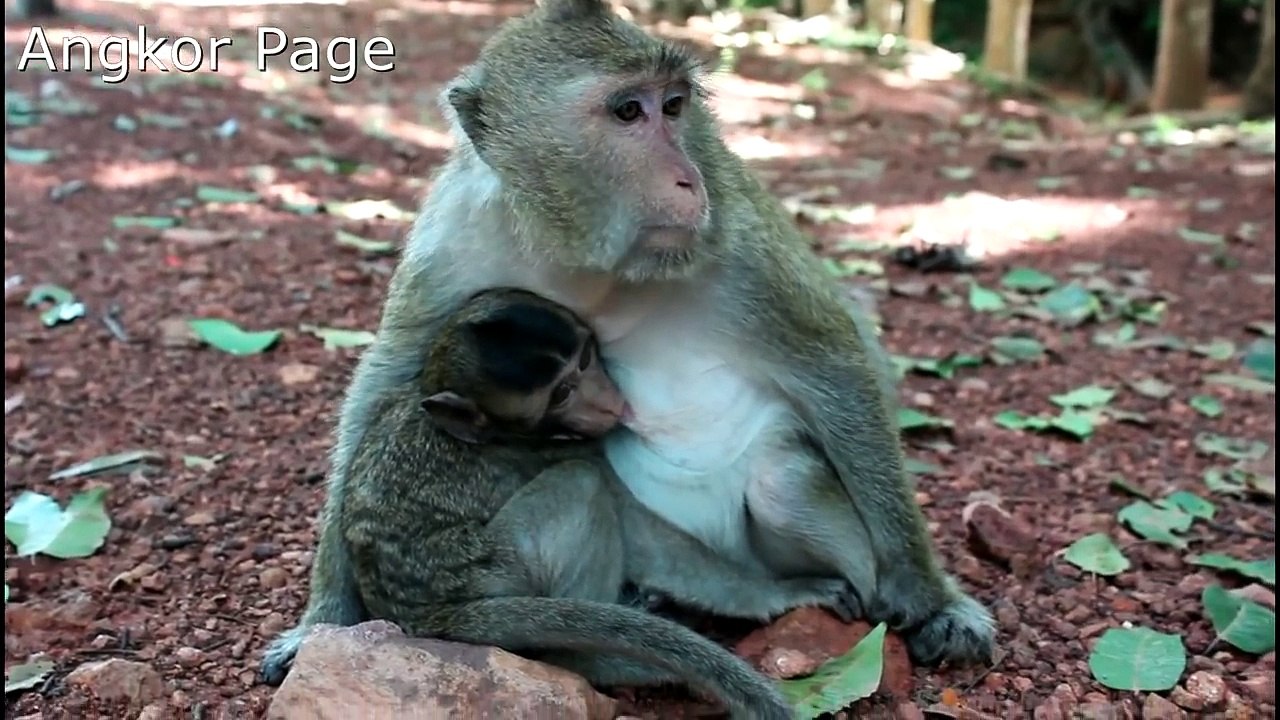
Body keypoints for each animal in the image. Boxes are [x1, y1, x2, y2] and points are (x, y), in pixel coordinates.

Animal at [339, 287, 859, 719]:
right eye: (563, 393)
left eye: (586, 358)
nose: (607, 404)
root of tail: (426, 614)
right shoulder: (559, 449)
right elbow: (641, 530)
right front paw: (775, 594)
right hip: (495, 572)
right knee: (580, 485)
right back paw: (599, 661)